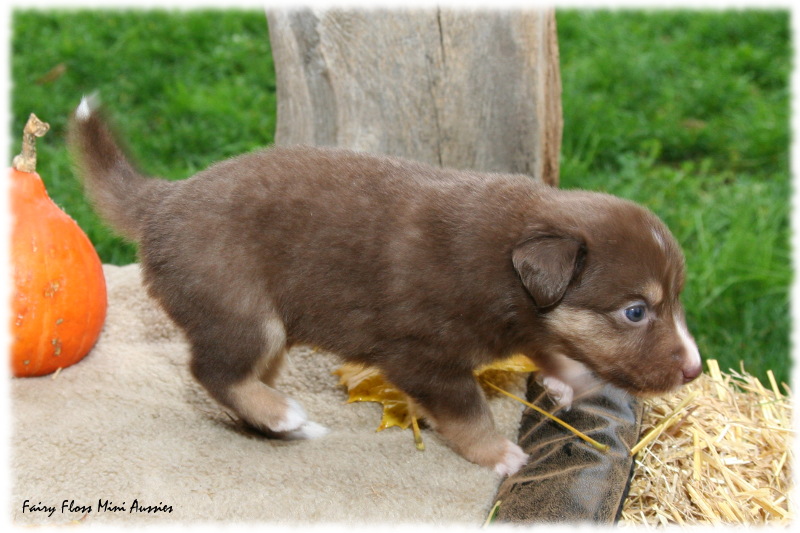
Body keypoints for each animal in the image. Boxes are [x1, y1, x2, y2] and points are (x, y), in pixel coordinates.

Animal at [72, 97, 704, 476]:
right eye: (635, 312)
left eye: (674, 301)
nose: (695, 369)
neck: (503, 264)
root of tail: (163, 200)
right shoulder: (425, 359)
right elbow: (469, 411)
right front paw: (499, 454)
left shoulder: (525, 320)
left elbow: (551, 345)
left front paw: (568, 380)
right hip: (239, 312)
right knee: (213, 371)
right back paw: (284, 416)